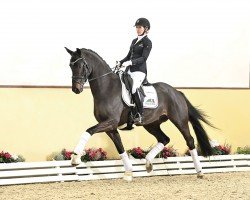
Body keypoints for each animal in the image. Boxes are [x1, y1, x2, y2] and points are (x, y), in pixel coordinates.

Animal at [64, 47, 213, 181]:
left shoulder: (110, 122)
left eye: (80, 65)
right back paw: (148, 163)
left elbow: (88, 131)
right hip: (151, 124)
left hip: (179, 120)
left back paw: (200, 172)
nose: (76, 89)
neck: (107, 89)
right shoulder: (110, 127)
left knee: (189, 140)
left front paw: (75, 158)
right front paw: (128, 173)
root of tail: (177, 92)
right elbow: (120, 148)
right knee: (164, 139)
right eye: (70, 65)